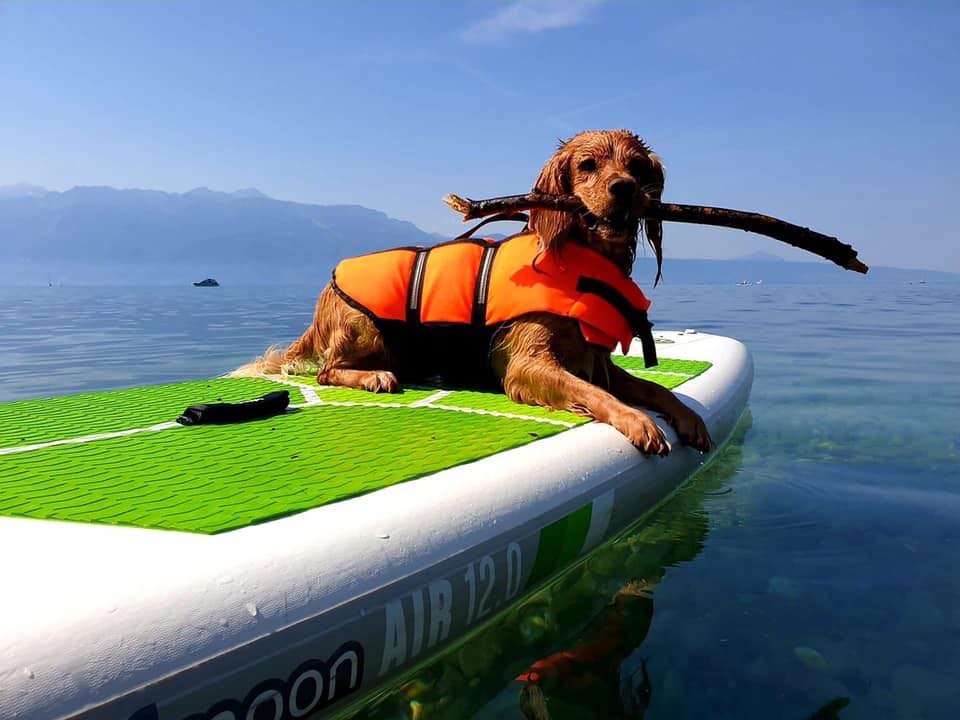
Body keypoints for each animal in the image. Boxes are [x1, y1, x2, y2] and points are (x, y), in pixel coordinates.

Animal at [235, 129, 708, 456]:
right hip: (363, 327)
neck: (576, 259)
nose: (624, 188)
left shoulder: (598, 361)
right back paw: (373, 377)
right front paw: (636, 421)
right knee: (327, 371)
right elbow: (595, 393)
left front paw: (687, 417)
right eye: (588, 164)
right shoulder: (526, 364)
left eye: (638, 167)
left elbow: (654, 389)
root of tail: (325, 293)